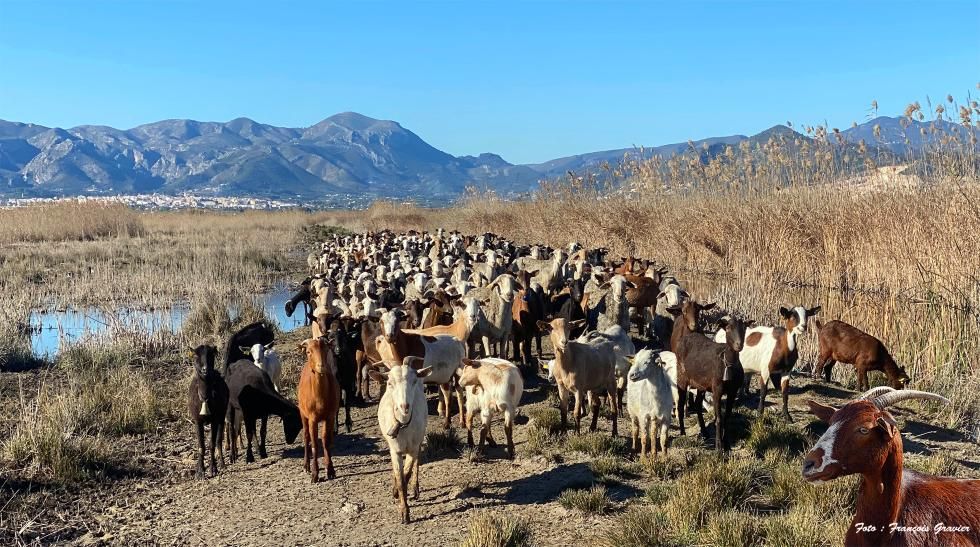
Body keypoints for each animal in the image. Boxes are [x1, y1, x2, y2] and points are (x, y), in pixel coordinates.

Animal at [188, 346, 228, 480]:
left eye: (211, 354)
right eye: (196, 355)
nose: (206, 370)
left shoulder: (215, 420)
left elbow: (212, 444)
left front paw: (213, 469)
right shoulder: (197, 421)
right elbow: (201, 446)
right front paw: (200, 472)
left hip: (222, 416)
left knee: (219, 441)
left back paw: (222, 463)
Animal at [368, 362, 432, 524]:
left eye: (414, 381)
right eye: (390, 383)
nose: (405, 406)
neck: (403, 425)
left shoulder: (413, 447)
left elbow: (407, 474)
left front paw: (405, 510)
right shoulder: (395, 450)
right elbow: (400, 477)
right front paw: (403, 510)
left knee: (417, 462)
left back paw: (415, 489)